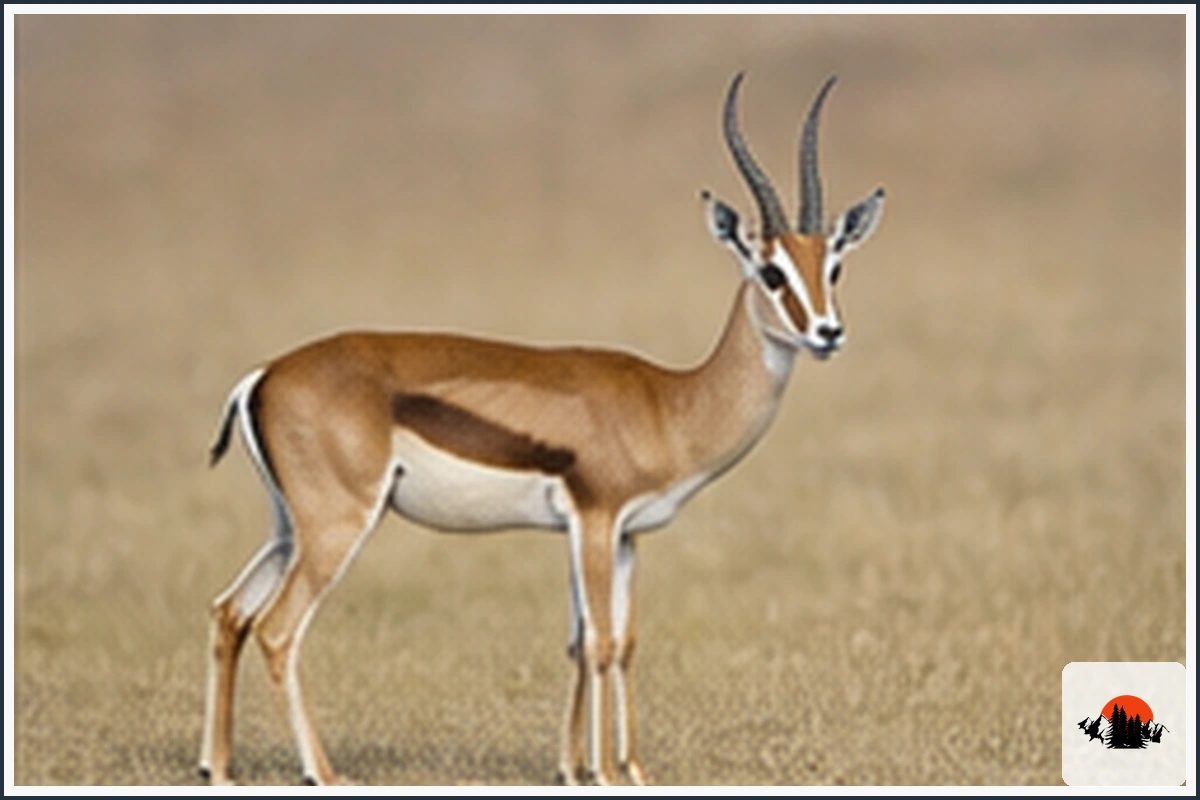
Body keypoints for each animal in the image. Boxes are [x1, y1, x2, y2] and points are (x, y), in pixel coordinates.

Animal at [199, 72, 884, 786]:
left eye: (832, 267)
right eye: (771, 271)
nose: (827, 332)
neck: (669, 403)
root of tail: (263, 375)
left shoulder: (624, 536)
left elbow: (607, 643)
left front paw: (608, 769)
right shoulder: (595, 520)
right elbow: (602, 643)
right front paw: (604, 774)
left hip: (288, 529)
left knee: (229, 612)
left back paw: (216, 768)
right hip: (338, 526)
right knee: (278, 630)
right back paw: (323, 774)